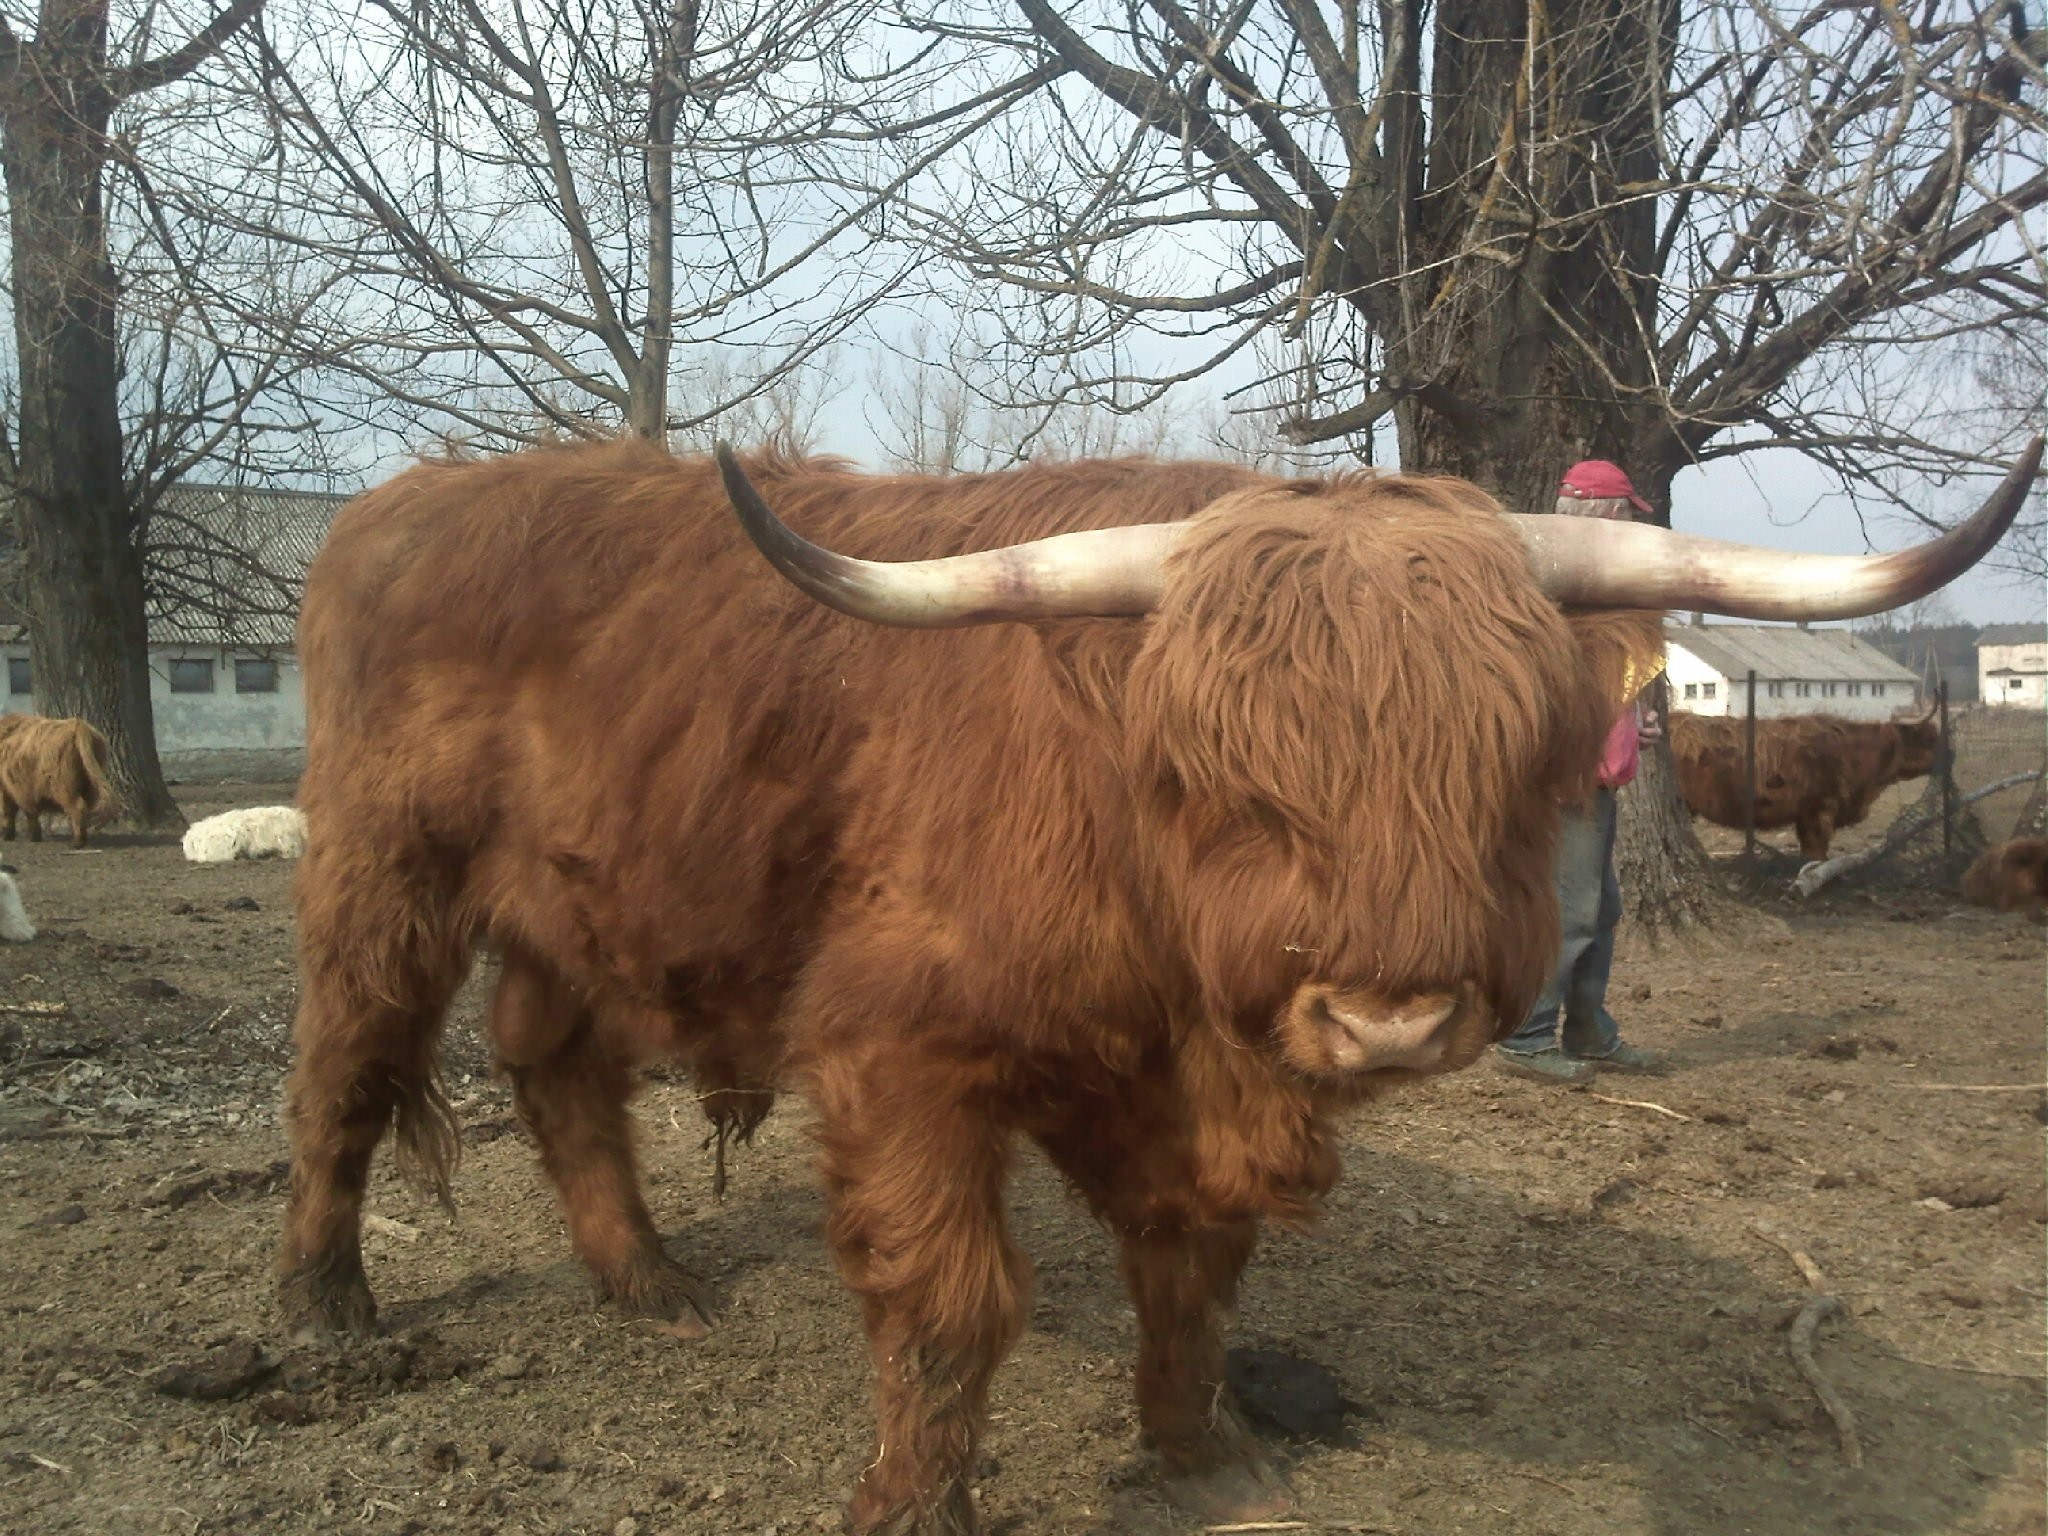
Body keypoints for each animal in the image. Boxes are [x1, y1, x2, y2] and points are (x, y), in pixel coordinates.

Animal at [0, 714, 119, 848]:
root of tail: (79, 726)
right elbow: (28, 812)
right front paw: (35, 837)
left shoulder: (10, 789)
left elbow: (9, 811)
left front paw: (8, 836)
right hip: (90, 785)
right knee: (86, 808)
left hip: (64, 786)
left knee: (78, 807)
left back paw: (77, 843)